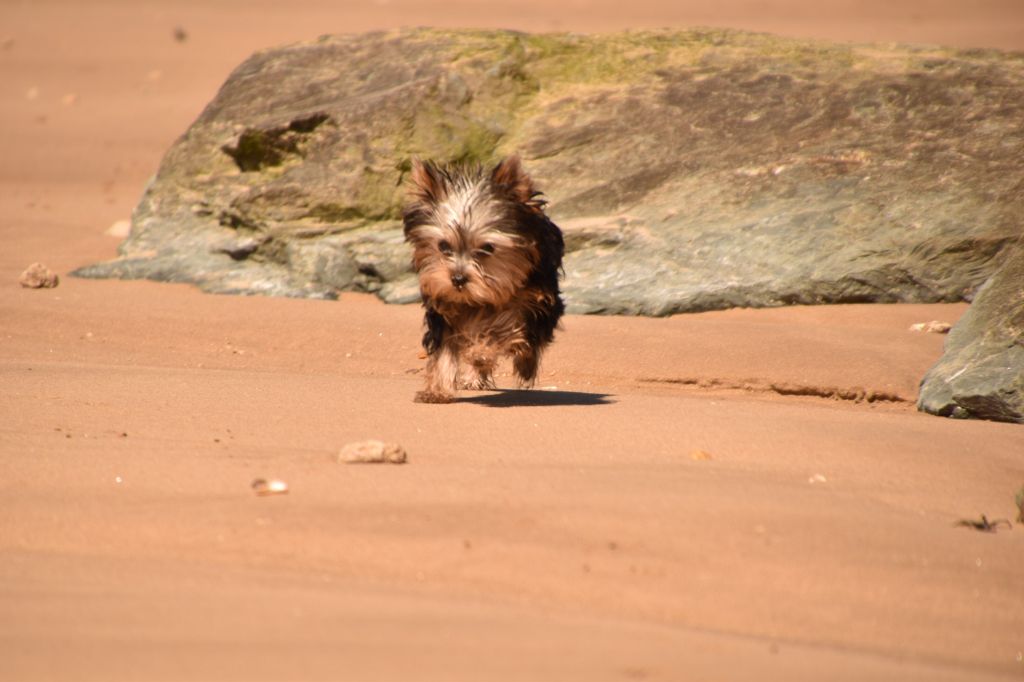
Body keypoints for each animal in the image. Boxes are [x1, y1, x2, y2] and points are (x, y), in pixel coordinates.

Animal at [401, 155, 565, 401]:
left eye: (487, 248)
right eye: (443, 246)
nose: (458, 278)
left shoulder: (531, 298)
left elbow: (503, 324)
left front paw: (482, 351)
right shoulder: (442, 306)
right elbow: (444, 349)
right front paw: (438, 390)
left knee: (530, 341)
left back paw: (524, 366)